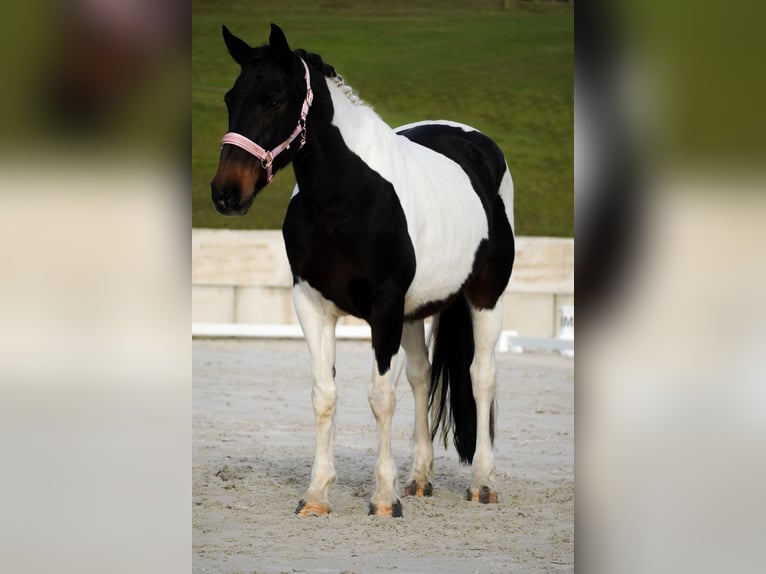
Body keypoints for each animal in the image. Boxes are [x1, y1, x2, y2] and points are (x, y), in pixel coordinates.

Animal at [211, 24, 515, 518]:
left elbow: (380, 397)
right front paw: (317, 495)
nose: (226, 193)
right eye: (229, 98)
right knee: (421, 377)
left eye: (274, 100)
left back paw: (482, 484)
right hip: (414, 312)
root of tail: (478, 144)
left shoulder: (384, 306)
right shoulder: (311, 304)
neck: (347, 197)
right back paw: (419, 478)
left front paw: (384, 499)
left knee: (481, 375)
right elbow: (324, 395)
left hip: (486, 297)